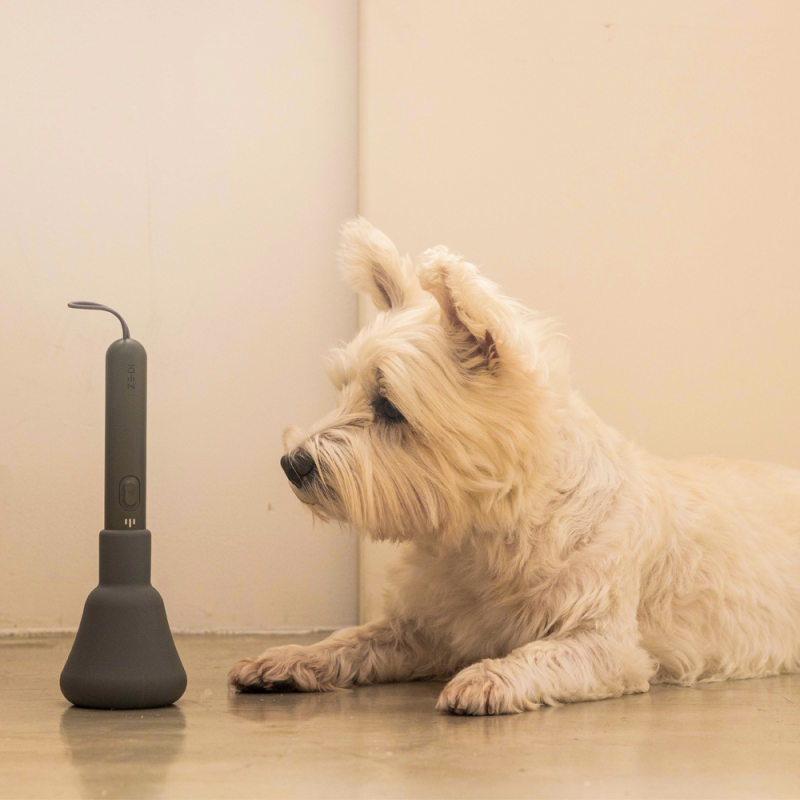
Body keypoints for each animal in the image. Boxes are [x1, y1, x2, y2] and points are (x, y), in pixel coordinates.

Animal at [229, 218, 800, 715]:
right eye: (342, 389)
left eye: (389, 405)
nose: (291, 463)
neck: (489, 532)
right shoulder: (425, 627)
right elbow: (353, 639)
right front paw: (287, 659)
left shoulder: (603, 642)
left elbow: (539, 654)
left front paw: (487, 677)